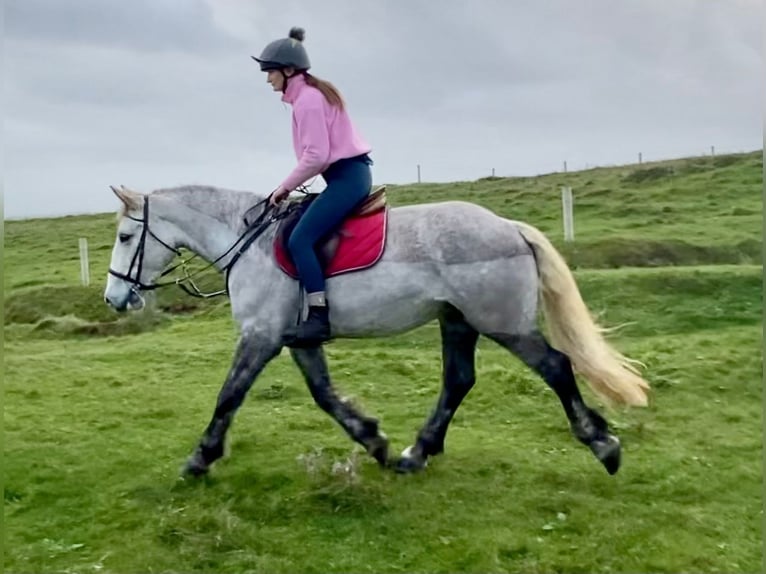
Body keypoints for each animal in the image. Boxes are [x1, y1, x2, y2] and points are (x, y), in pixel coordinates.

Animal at [103, 183, 650, 478]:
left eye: (127, 236)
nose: (115, 299)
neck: (249, 243)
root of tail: (508, 227)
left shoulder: (260, 337)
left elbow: (228, 396)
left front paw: (200, 458)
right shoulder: (295, 340)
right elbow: (324, 395)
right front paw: (374, 440)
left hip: (502, 324)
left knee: (556, 366)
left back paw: (604, 445)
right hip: (458, 321)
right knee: (458, 381)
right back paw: (416, 453)